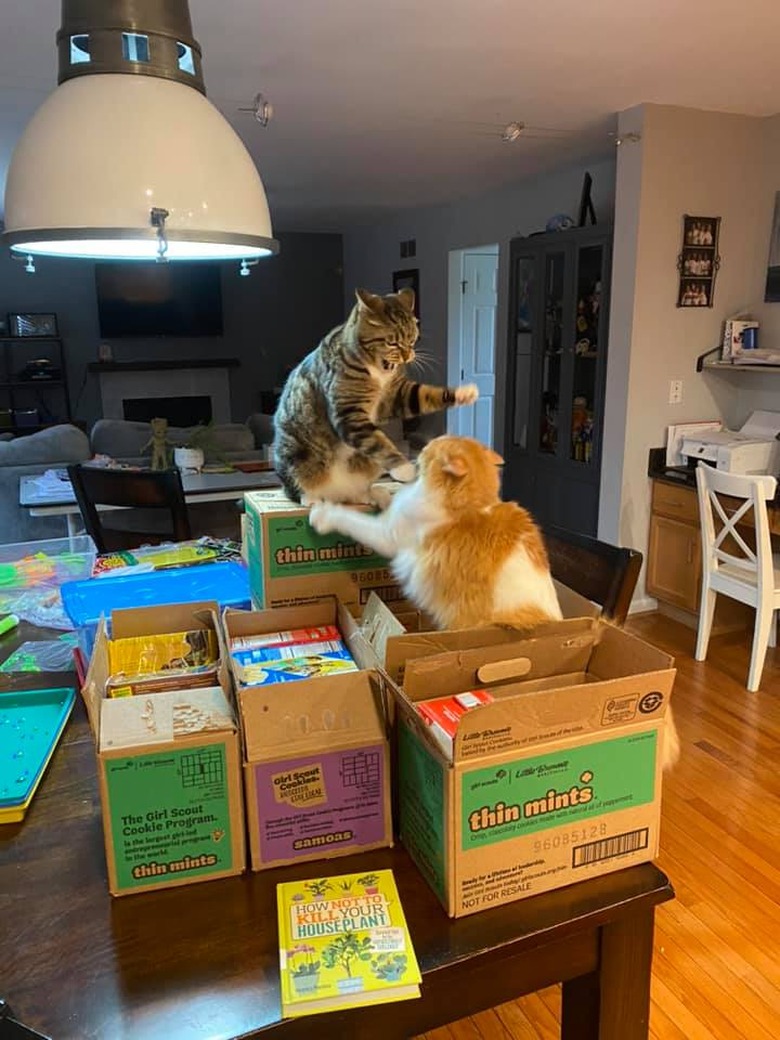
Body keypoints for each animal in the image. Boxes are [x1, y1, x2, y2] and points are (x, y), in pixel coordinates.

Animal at [272, 289, 480, 503]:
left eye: (412, 339)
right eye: (392, 342)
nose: (408, 356)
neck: (378, 367)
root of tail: (337, 496)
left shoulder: (396, 394)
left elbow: (424, 395)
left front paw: (464, 393)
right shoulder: (348, 412)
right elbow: (376, 441)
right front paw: (404, 468)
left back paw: (372, 495)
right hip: (296, 457)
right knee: (300, 487)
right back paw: (313, 499)